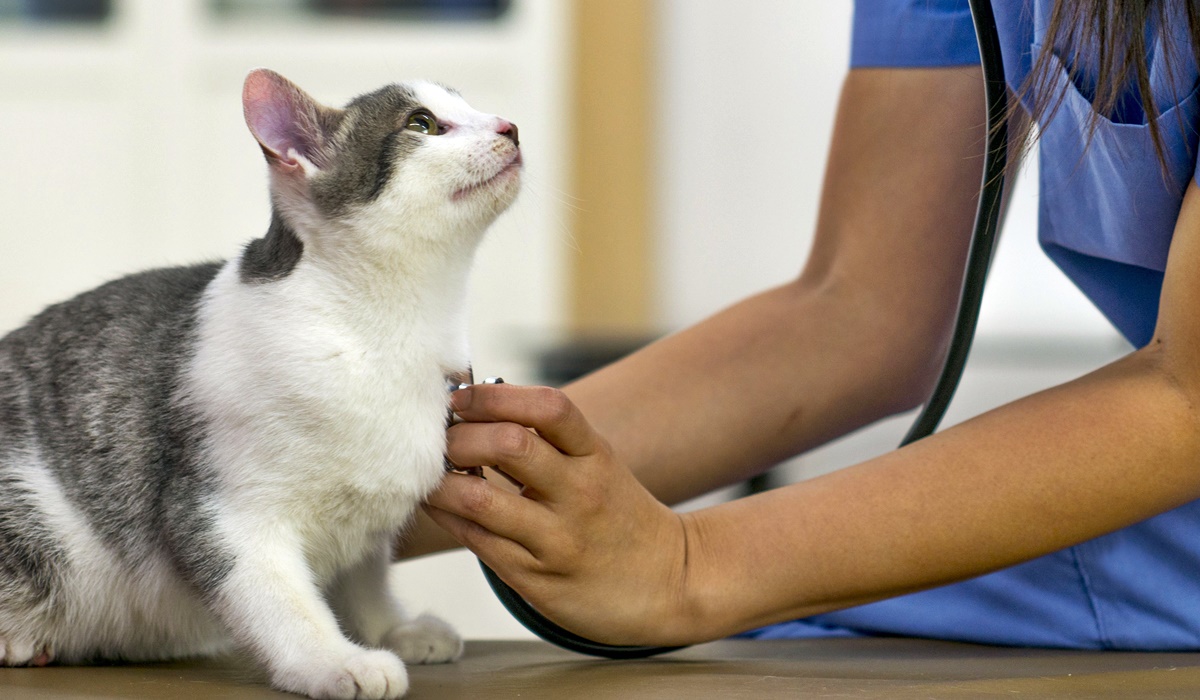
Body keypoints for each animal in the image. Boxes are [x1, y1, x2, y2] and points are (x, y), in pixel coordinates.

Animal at [0, 67, 520, 700]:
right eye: (422, 124)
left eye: (472, 106)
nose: (510, 126)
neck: (389, 332)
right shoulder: (221, 511)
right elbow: (281, 600)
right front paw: (334, 659)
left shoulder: (364, 524)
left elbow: (364, 579)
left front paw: (389, 629)